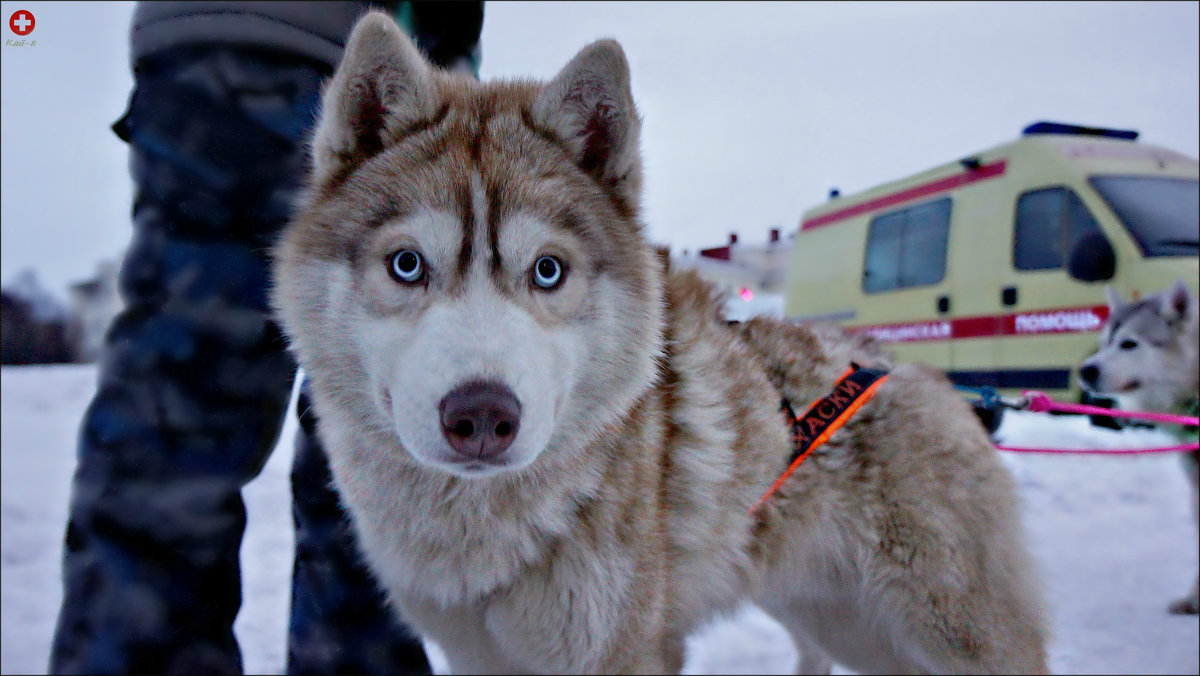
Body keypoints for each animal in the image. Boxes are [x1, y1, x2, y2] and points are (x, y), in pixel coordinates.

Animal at [272, 13, 1051, 672]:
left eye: (547, 270)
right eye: (407, 264)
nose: (483, 416)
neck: (486, 526)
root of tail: (932, 381)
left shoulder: (624, 651)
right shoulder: (477, 657)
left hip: (956, 636)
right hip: (839, 621)